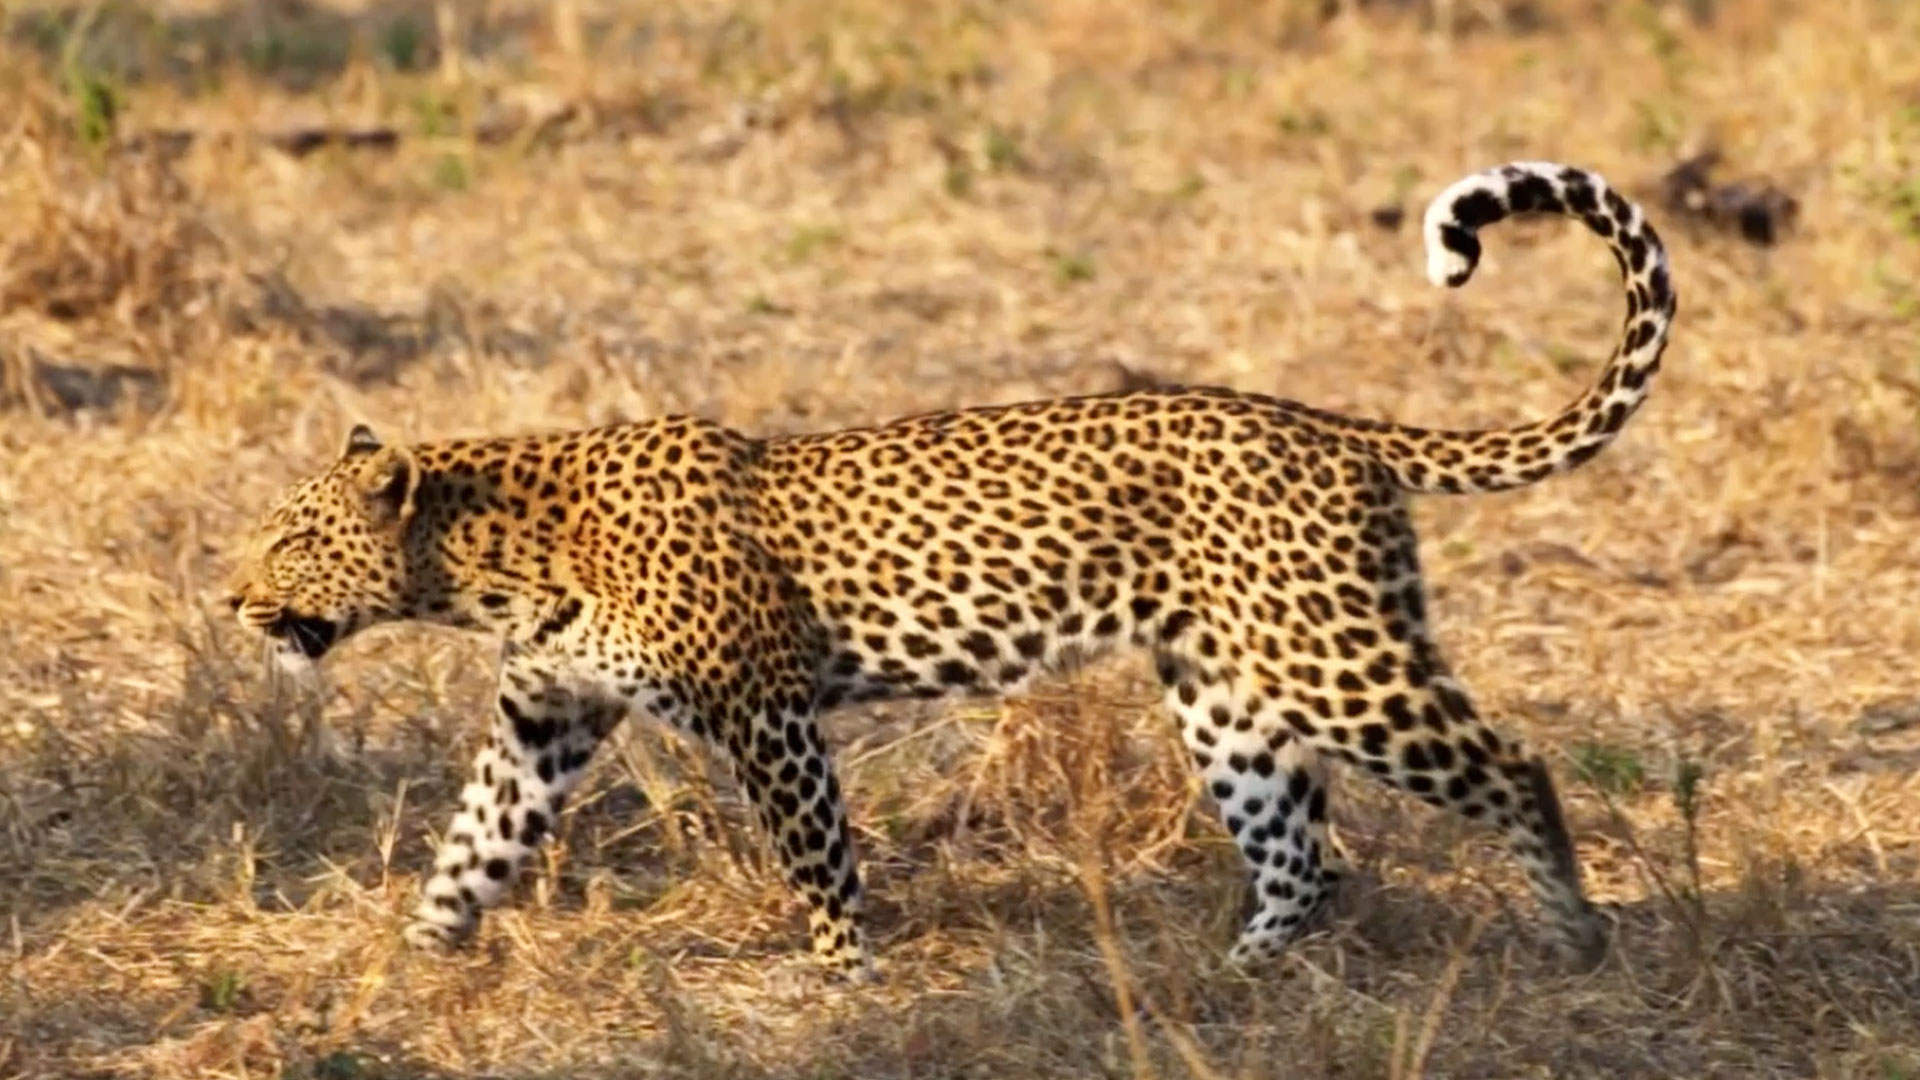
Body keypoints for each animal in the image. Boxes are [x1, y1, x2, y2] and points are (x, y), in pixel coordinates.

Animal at [226, 161, 1676, 983]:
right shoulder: (546, 716)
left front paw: (839, 988)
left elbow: (817, 862)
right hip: (1226, 693)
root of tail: (1329, 424)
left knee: (1511, 768)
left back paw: (1576, 941)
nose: (234, 601)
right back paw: (1233, 978)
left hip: (1334, 662)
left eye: (292, 537)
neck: (492, 561)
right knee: (1302, 855)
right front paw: (410, 964)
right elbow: (472, 847)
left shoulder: (766, 713)